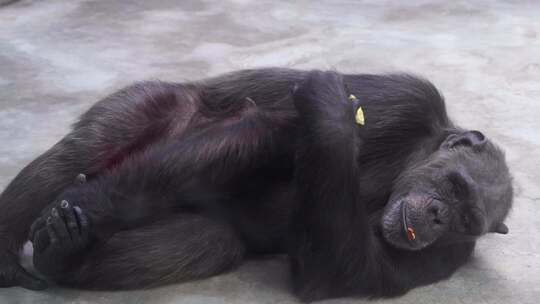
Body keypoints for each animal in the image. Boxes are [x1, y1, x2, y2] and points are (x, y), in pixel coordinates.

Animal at [0, 67, 510, 300]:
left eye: (466, 218)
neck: (415, 155)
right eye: (455, 186)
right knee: (87, 148)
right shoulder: (403, 102)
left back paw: (64, 252)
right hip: (152, 105)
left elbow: (348, 273)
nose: (440, 216)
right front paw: (333, 113)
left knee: (207, 240)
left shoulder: (447, 258)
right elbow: (272, 132)